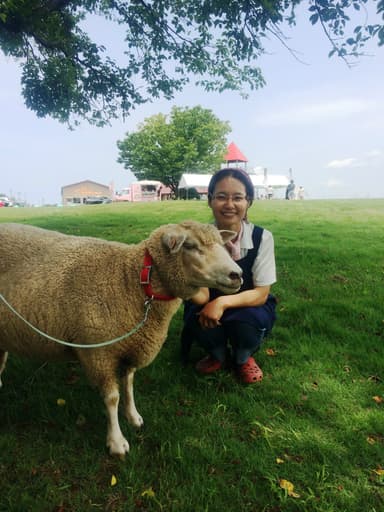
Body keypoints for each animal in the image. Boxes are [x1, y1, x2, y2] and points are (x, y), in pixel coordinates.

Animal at [0, 220, 242, 456]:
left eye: (222, 244)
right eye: (190, 246)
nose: (237, 274)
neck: (133, 280)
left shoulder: (130, 345)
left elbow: (129, 384)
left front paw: (133, 417)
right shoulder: (98, 352)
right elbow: (112, 398)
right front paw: (116, 442)